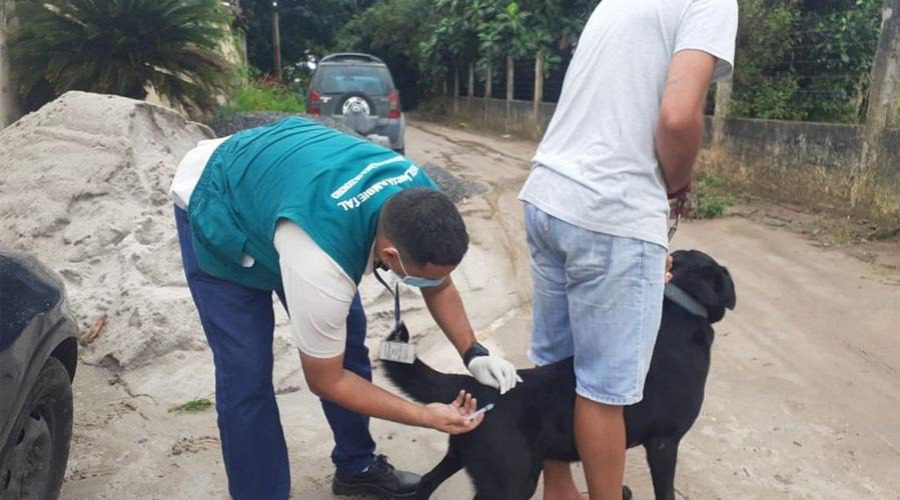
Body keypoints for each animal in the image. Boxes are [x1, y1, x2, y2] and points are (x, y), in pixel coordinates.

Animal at [384, 248, 736, 498]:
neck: (681, 306)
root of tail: (476, 385)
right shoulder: (664, 444)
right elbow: (665, 491)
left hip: (463, 455)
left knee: (426, 483)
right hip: (512, 481)